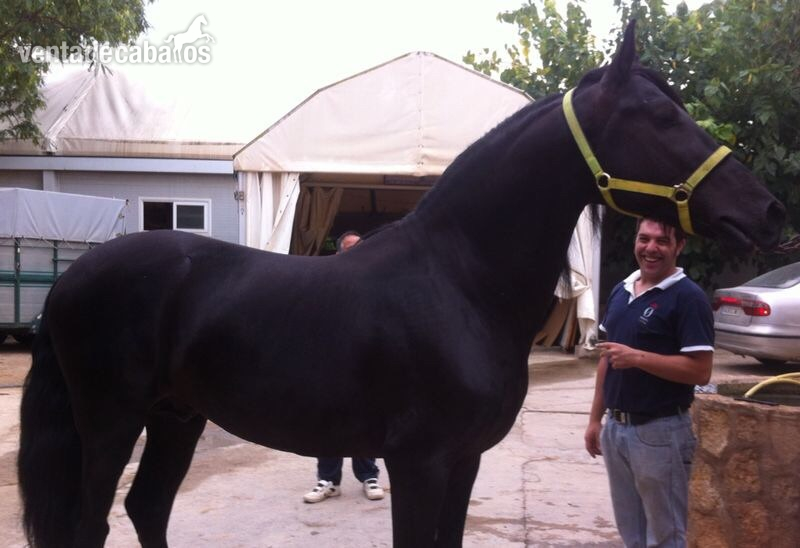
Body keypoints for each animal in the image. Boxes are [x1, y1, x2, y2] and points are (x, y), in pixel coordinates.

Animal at [18, 21, 784, 548]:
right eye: (660, 118)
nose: (767, 210)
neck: (460, 283)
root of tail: (73, 279)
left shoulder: (464, 462)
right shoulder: (420, 463)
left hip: (176, 416)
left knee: (147, 509)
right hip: (111, 421)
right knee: (92, 526)